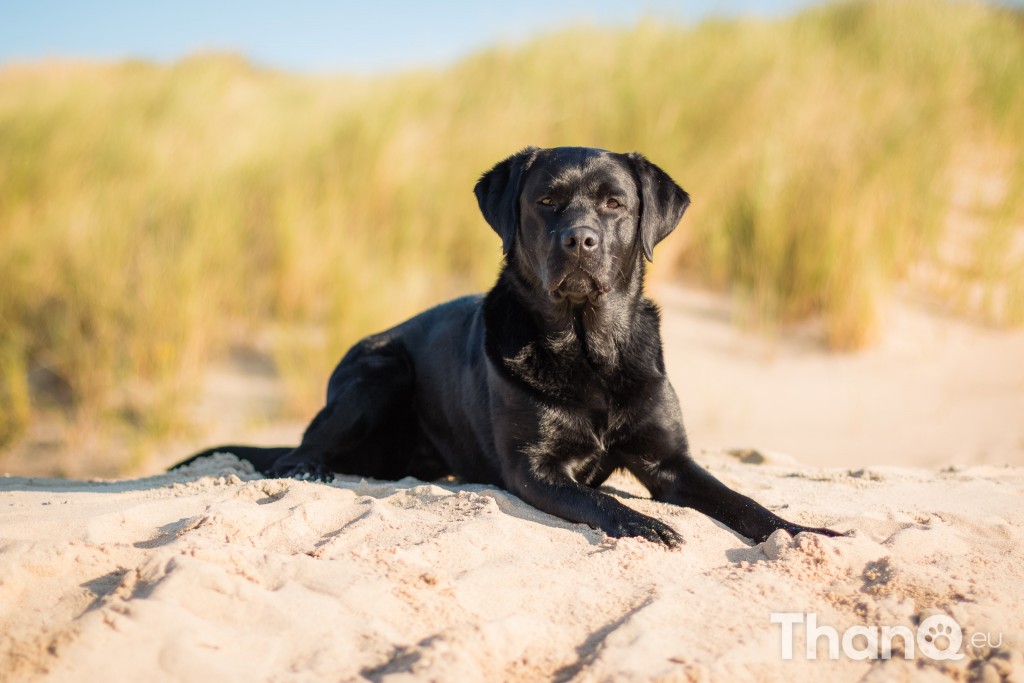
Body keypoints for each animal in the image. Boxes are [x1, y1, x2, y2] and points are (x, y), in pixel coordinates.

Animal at [178, 147, 839, 548]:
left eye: (615, 203)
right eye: (545, 200)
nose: (581, 240)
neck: (589, 349)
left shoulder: (669, 460)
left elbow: (743, 501)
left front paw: (805, 534)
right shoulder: (533, 469)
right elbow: (604, 504)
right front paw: (650, 527)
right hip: (379, 371)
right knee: (298, 449)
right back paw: (309, 467)